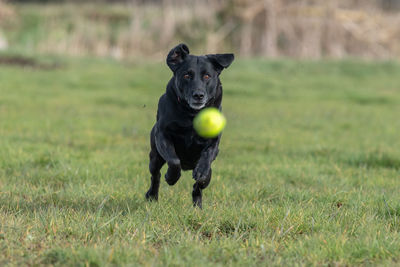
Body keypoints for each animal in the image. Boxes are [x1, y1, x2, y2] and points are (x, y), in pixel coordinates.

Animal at [145, 43, 234, 209]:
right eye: (187, 75)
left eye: (207, 76)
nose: (198, 95)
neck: (191, 115)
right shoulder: (162, 135)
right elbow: (174, 160)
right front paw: (171, 177)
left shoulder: (214, 142)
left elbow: (207, 157)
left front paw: (201, 173)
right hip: (154, 157)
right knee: (155, 175)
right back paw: (152, 195)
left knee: (198, 186)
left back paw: (197, 205)